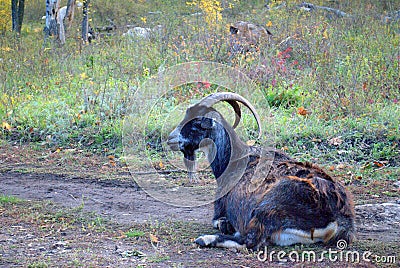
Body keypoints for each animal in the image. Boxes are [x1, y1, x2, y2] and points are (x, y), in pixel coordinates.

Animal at [167, 93, 354, 250]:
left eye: (197, 123)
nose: (170, 139)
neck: (236, 158)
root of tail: (339, 216)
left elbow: (219, 222)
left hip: (270, 205)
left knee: (250, 241)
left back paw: (205, 239)